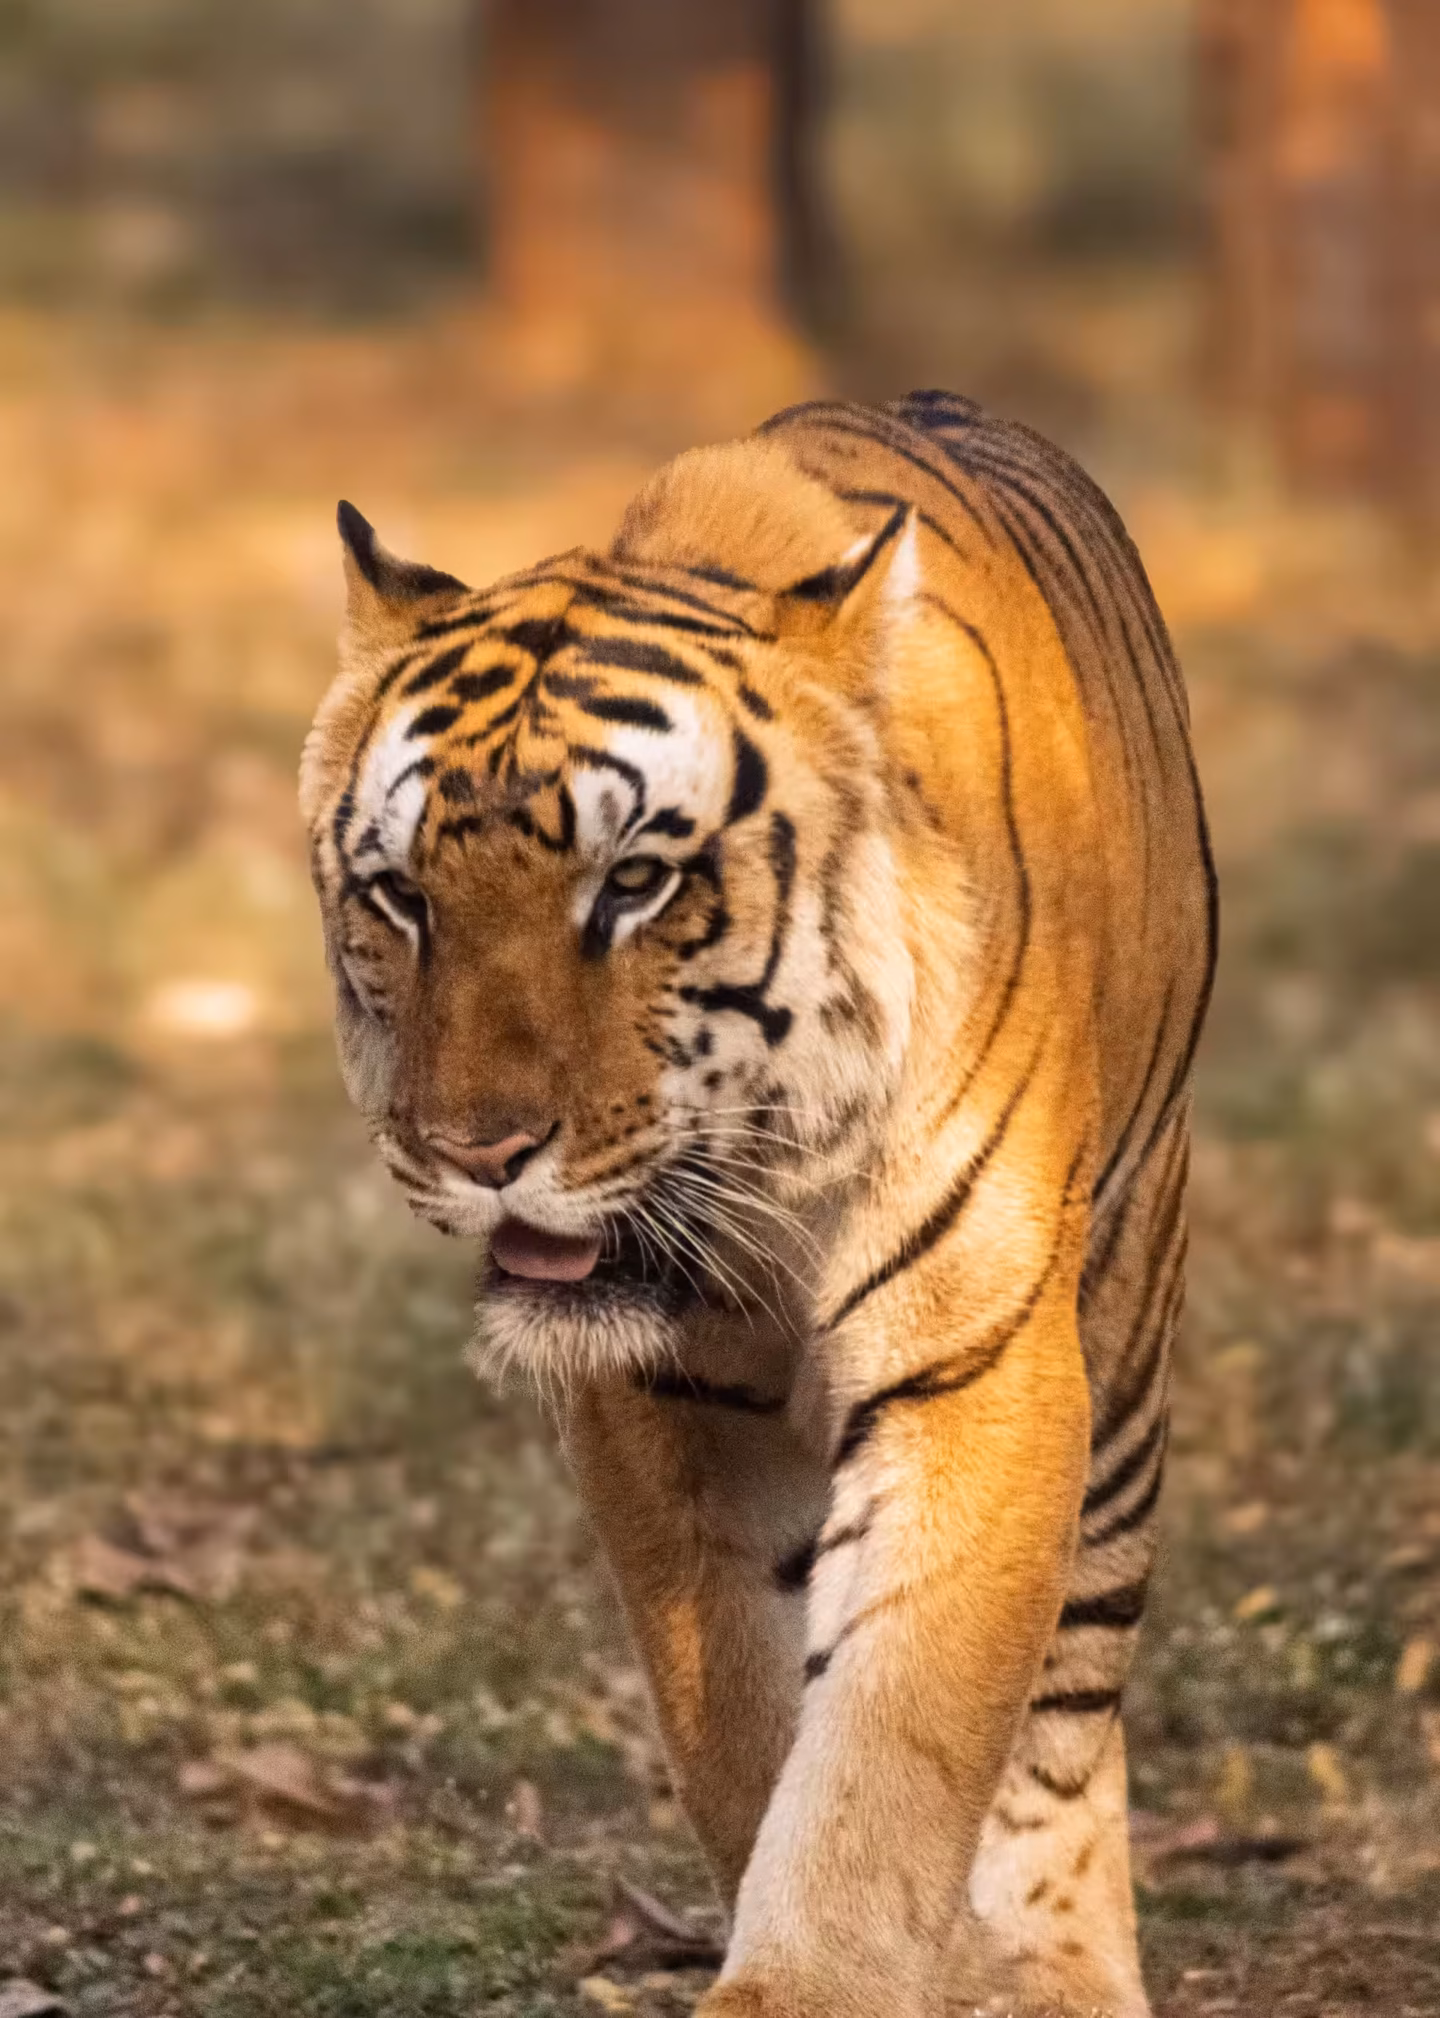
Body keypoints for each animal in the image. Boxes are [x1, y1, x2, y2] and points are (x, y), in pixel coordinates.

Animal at [300, 391, 1216, 2018]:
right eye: (401, 895)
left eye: (636, 883)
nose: (478, 1148)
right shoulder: (662, 1409)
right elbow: (736, 1712)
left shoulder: (973, 1371)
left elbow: (893, 1738)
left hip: (1125, 1334)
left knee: (1069, 1710)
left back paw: (1056, 1969)